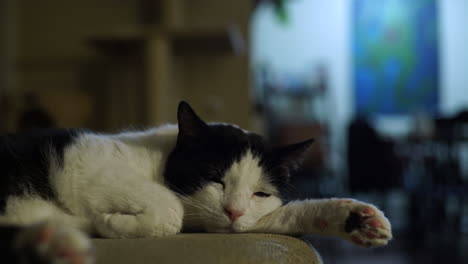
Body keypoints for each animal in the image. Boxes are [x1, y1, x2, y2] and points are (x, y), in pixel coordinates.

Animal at [0, 100, 392, 262]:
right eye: (214, 178)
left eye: (260, 193)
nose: (233, 211)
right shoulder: (86, 165)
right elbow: (170, 207)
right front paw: (111, 223)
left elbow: (278, 217)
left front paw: (356, 219)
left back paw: (52, 241)